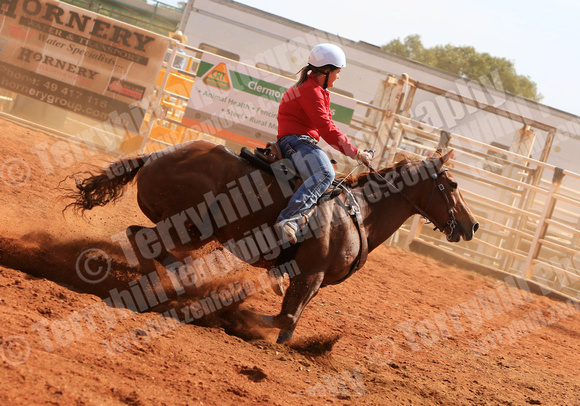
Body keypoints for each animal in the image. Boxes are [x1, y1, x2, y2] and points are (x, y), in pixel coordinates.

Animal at [68, 140, 478, 342]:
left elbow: (290, 324)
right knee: (146, 241)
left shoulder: (314, 280)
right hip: (188, 226)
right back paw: (185, 286)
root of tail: (157, 154)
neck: (356, 211)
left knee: (140, 239)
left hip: (190, 231)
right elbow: (285, 316)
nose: (471, 226)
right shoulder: (309, 273)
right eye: (453, 184)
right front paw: (236, 315)